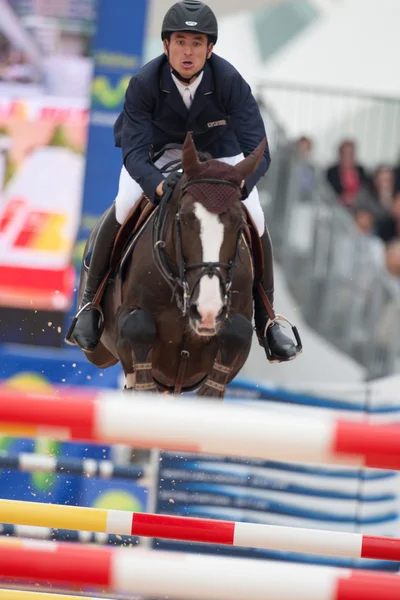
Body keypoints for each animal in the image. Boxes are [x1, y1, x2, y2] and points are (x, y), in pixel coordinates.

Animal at [72, 136, 266, 398]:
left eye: (239, 223)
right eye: (183, 219)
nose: (207, 310)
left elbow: (239, 332)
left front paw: (210, 391)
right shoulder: (130, 326)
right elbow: (138, 327)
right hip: (98, 351)